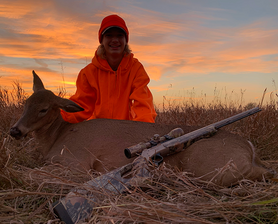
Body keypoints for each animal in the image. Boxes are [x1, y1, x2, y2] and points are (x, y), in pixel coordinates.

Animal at [9, 71, 274, 186]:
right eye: (25, 104)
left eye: (44, 109)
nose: (15, 130)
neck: (58, 136)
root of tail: (250, 149)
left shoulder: (76, 162)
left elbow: (34, 173)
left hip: (209, 168)